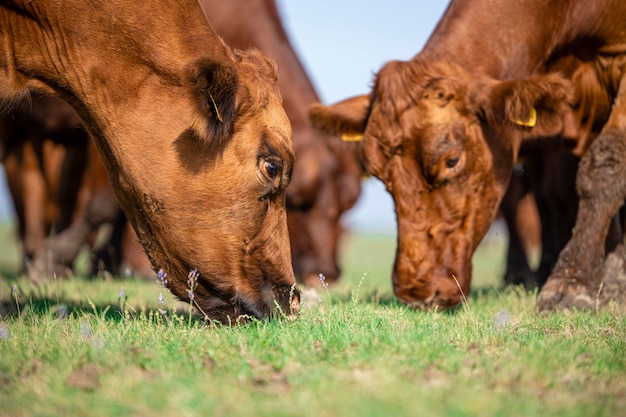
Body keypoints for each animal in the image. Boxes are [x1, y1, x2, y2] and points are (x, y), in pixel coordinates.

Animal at [308, 0, 624, 310]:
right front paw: (612, 278)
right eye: (378, 174)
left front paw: (573, 283)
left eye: (452, 160)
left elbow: (605, 165)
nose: (415, 291)